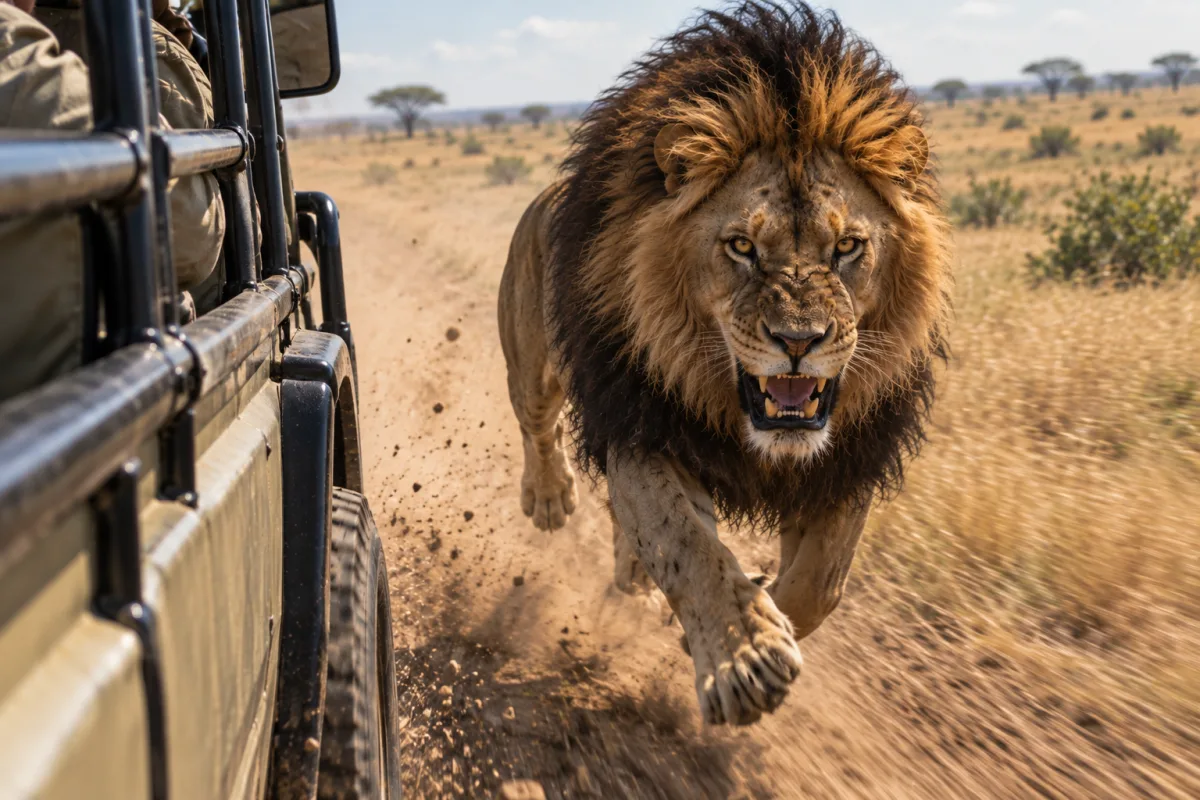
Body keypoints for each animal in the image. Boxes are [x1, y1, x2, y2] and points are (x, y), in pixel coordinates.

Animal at [497, 0, 951, 726]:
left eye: (848, 247)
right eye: (741, 247)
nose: (799, 340)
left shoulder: (849, 457)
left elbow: (822, 581)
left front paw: (752, 619)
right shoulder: (644, 431)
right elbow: (687, 545)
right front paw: (745, 660)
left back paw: (632, 577)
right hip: (531, 357)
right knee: (537, 421)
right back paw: (549, 496)